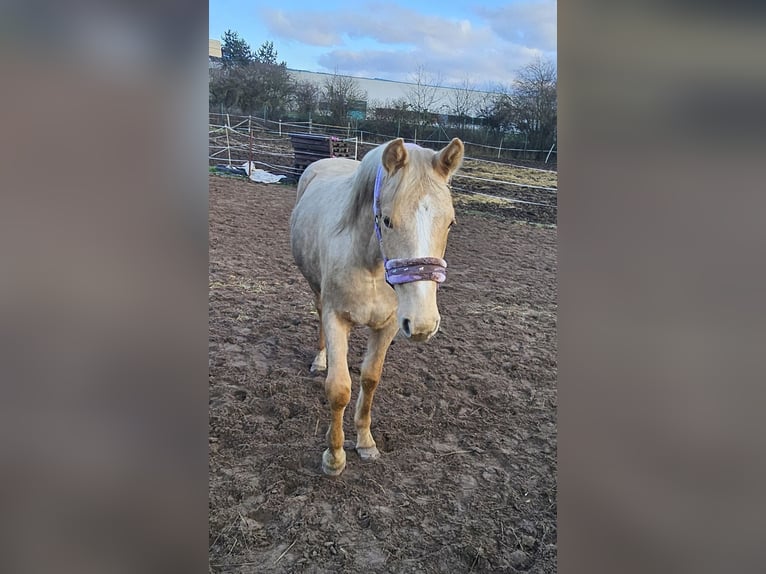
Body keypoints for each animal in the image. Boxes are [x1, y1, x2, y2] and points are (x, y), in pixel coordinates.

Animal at [290, 137, 464, 475]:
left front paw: (365, 442)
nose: (423, 324)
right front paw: (334, 456)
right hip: (316, 290)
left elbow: (370, 379)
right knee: (317, 315)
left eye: (450, 222)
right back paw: (319, 360)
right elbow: (339, 389)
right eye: (387, 220)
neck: (369, 265)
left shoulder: (389, 324)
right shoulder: (336, 318)